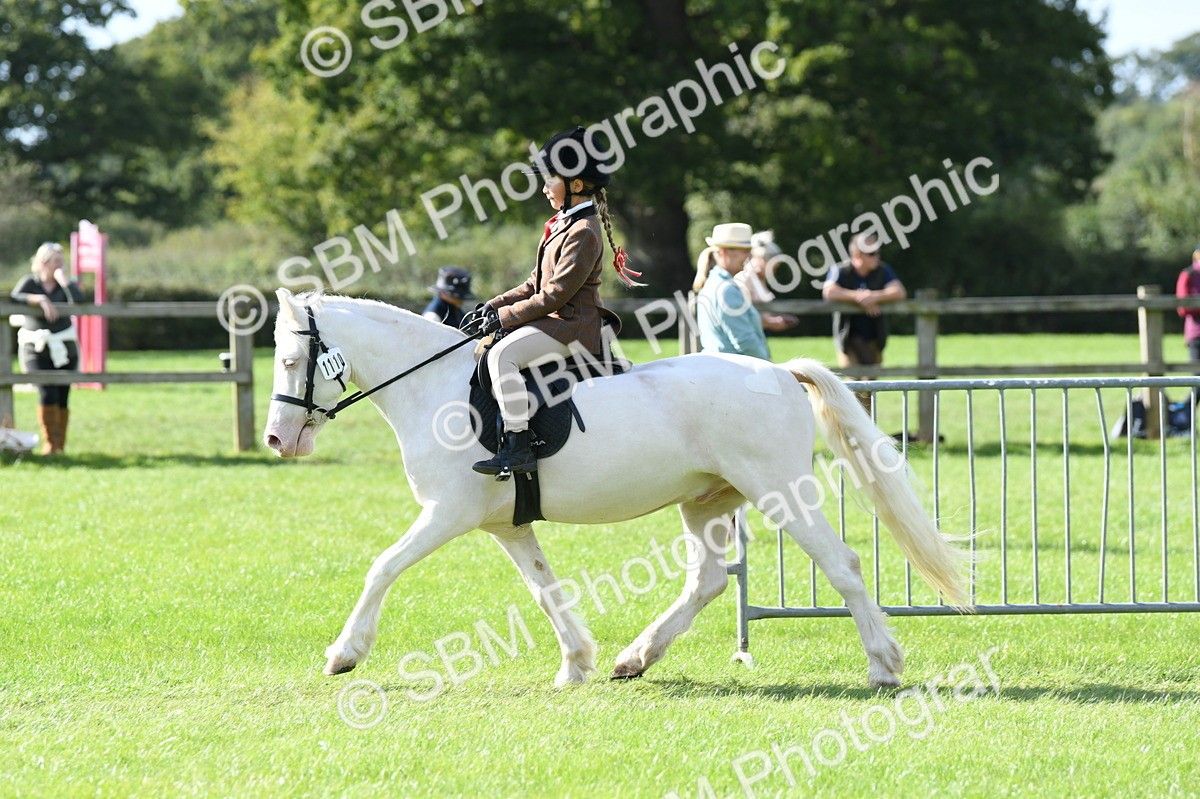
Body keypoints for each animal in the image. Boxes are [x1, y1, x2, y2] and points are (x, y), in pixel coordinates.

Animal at [263, 288, 969, 689]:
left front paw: (344, 655)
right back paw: (635, 660)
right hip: (707, 501)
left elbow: (382, 567)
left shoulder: (446, 514)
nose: (276, 440)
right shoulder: (503, 524)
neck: (433, 388)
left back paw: (884, 665)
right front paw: (576, 663)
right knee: (707, 581)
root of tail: (778, 371)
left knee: (843, 565)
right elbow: (544, 590)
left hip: (779, 491)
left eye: (293, 361)